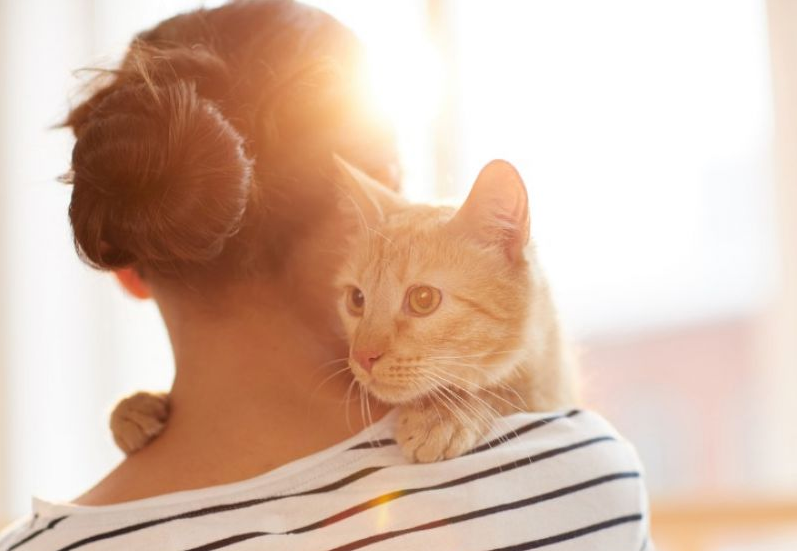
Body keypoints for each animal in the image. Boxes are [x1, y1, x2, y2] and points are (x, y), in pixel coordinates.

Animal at [109, 158, 576, 462]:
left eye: (423, 299)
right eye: (357, 300)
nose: (363, 357)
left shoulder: (548, 390)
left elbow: (505, 391)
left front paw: (446, 413)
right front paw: (137, 407)